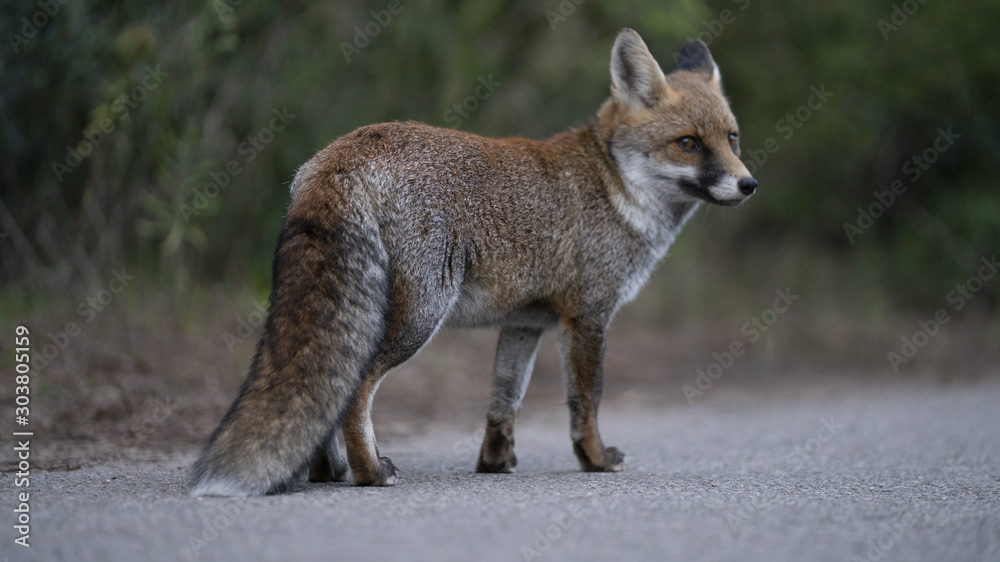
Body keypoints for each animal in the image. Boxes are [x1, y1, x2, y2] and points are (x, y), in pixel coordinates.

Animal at [191, 28, 756, 492]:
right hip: (421, 316)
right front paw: (595, 461)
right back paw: (369, 472)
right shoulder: (588, 317)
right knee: (355, 390)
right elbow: (587, 403)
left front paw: (494, 463)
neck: (616, 186)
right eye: (688, 144)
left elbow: (504, 401)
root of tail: (344, 150)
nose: (748, 184)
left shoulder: (527, 323)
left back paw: (327, 471)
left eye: (731, 138)